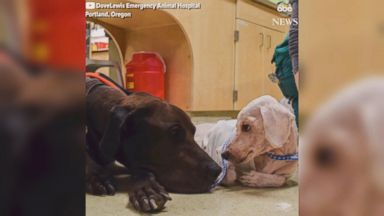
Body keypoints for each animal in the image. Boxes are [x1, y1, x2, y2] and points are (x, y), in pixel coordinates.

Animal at [85, 77, 220, 212]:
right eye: (174, 131)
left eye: (194, 131)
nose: (217, 170)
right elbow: (89, 163)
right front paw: (99, 177)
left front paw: (147, 188)